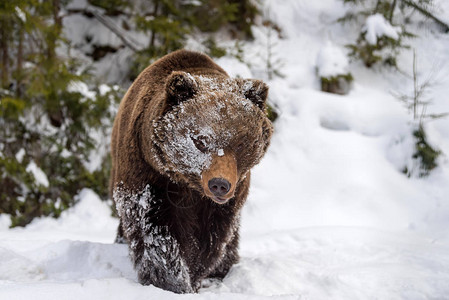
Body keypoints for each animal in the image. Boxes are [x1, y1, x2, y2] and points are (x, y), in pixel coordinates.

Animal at [110, 49, 272, 292]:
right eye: (201, 141)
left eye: (241, 143)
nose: (219, 184)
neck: (188, 184)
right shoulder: (149, 177)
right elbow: (154, 230)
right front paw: (171, 281)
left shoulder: (225, 201)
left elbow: (211, 239)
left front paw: (196, 274)